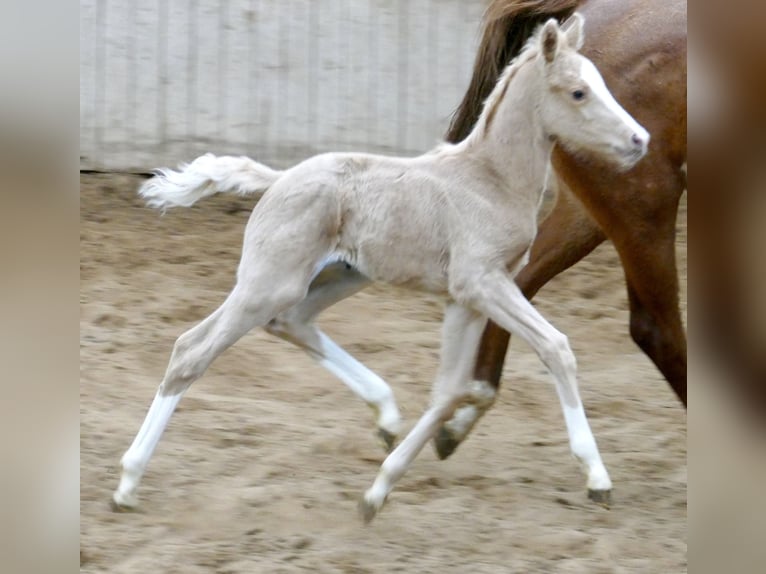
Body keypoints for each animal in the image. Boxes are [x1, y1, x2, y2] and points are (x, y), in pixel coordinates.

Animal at [112, 16, 648, 520]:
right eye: (578, 92)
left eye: (601, 83)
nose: (639, 139)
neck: (489, 180)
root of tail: (280, 178)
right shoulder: (481, 282)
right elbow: (555, 348)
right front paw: (597, 477)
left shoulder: (467, 298)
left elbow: (449, 390)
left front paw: (379, 490)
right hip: (269, 282)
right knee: (191, 350)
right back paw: (127, 482)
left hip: (340, 275)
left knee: (292, 323)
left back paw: (386, 418)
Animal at [438, 0, 688, 460]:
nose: (636, 138)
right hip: (642, 201)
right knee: (656, 329)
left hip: (594, 211)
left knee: (518, 281)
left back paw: (464, 412)